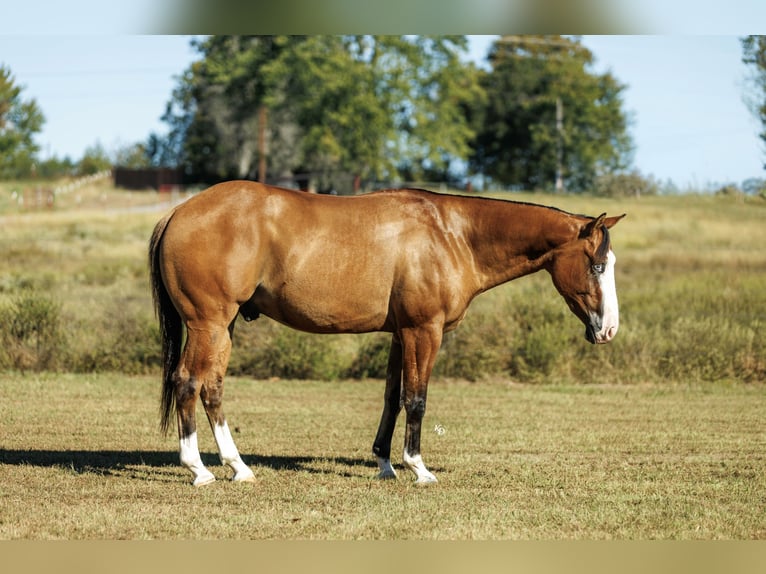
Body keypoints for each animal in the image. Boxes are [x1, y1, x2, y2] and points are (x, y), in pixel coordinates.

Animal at [149, 180, 625, 486]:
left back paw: (238, 467)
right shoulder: (423, 331)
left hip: (222, 327)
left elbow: (391, 398)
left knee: (212, 388)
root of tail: (178, 212)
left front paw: (385, 464)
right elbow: (416, 399)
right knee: (188, 383)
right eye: (598, 265)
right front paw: (418, 469)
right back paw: (199, 470)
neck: (453, 235)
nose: (609, 329)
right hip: (209, 324)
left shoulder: (400, 334)